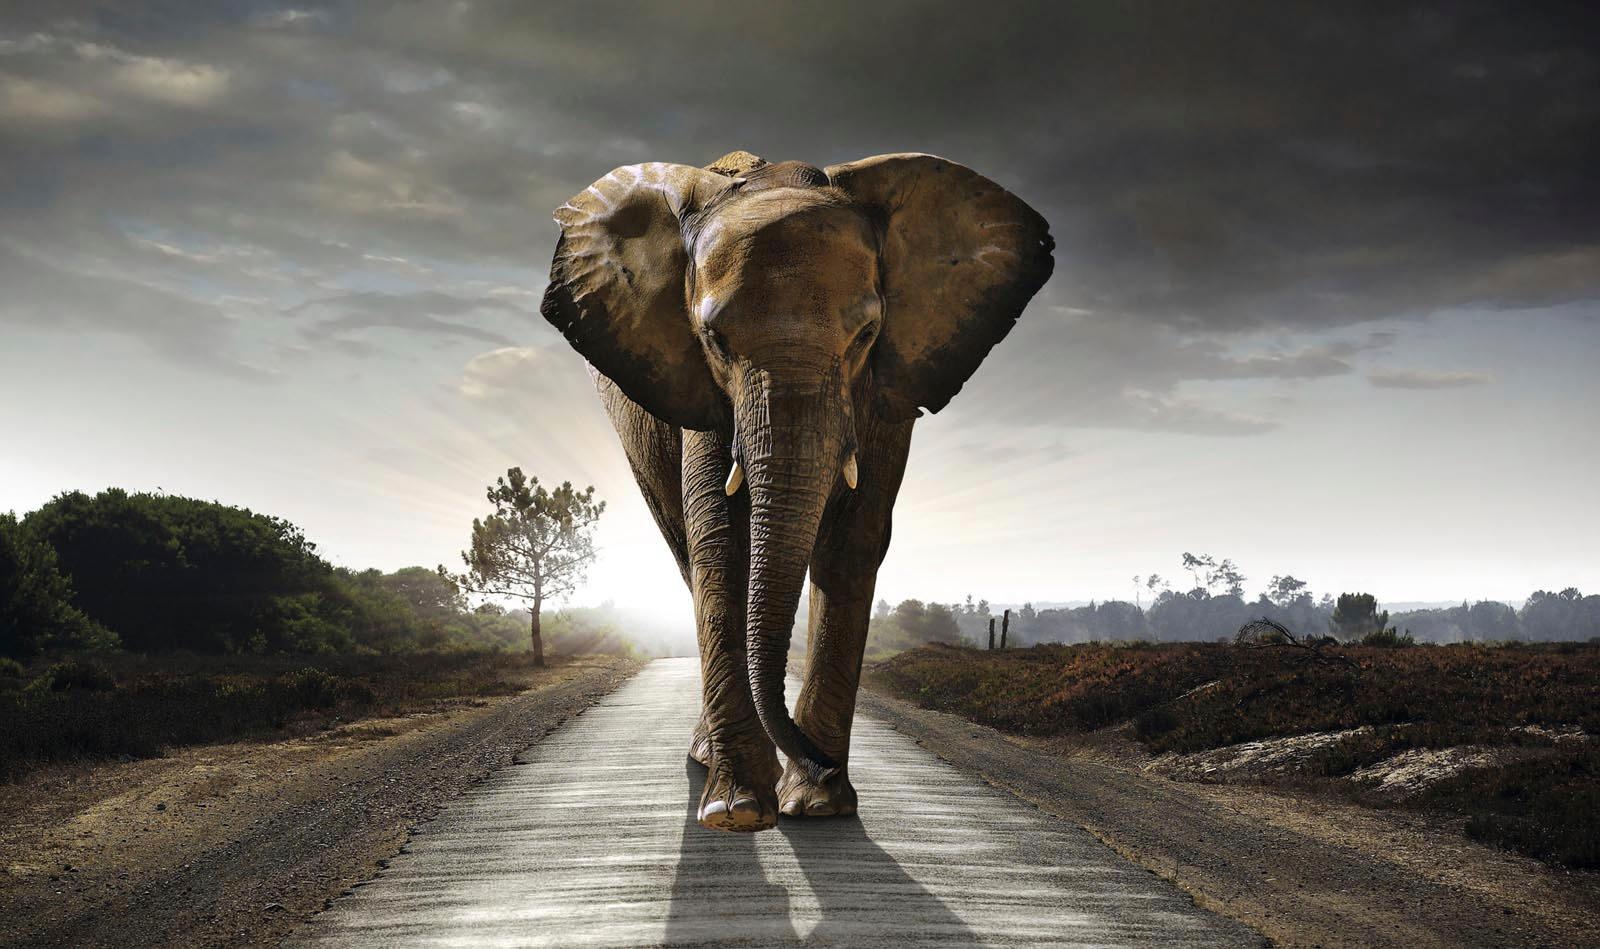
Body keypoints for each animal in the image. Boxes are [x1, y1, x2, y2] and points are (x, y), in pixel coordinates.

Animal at [539, 150, 1052, 831]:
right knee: (686, 552)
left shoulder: (886, 390)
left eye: (866, 335)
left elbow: (853, 542)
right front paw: (738, 811)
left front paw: (818, 805)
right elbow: (721, 543)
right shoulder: (702, 393)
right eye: (714, 340)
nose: (820, 763)